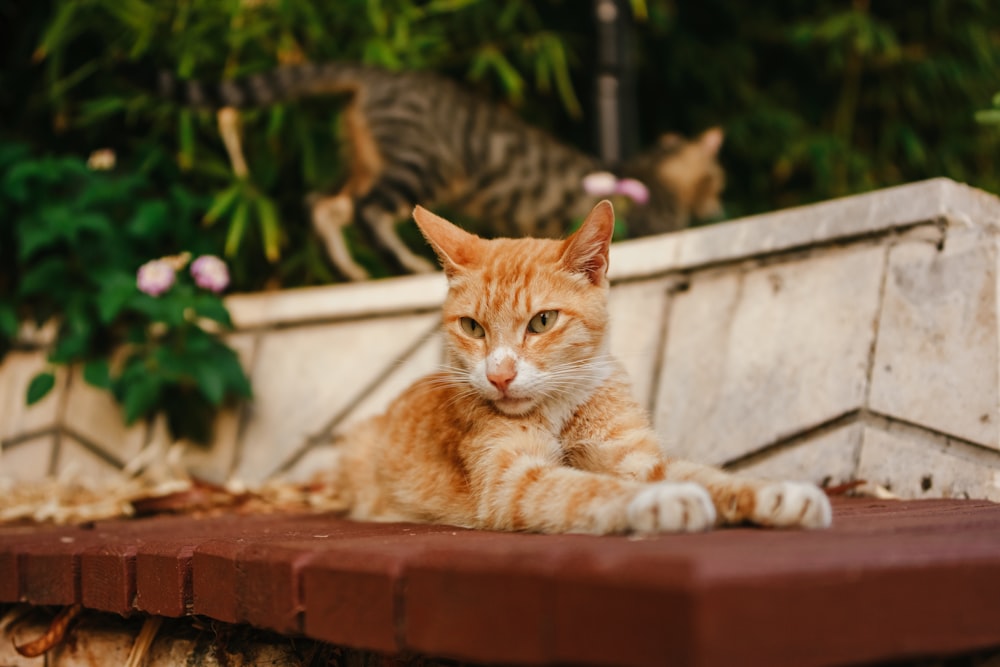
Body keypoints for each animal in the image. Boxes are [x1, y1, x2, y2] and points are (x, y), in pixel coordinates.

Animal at [164, 62, 728, 280]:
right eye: (717, 180)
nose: (720, 200)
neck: (651, 170)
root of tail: (380, 73)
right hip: (423, 167)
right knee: (368, 211)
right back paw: (404, 265)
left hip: (368, 159)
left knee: (321, 204)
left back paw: (348, 269)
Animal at [332, 201, 832, 536]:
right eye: (472, 327)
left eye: (542, 321)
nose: (499, 375)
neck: (560, 412)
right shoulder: (511, 481)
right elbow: (585, 489)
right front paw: (662, 500)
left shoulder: (633, 457)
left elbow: (704, 475)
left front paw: (776, 494)